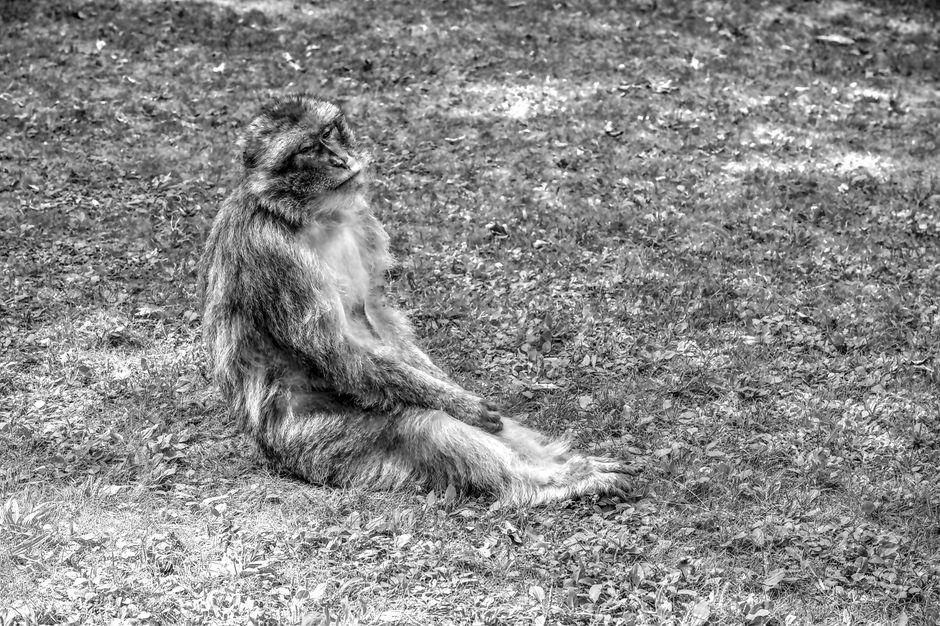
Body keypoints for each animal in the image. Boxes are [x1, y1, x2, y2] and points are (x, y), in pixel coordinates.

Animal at [199, 93, 631, 505]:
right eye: (306, 149)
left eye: (328, 132)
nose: (340, 160)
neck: (308, 215)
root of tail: (267, 449)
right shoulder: (271, 252)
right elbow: (335, 349)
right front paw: (460, 404)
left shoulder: (359, 218)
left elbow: (372, 314)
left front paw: (452, 389)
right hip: (314, 442)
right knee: (422, 426)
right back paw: (550, 482)